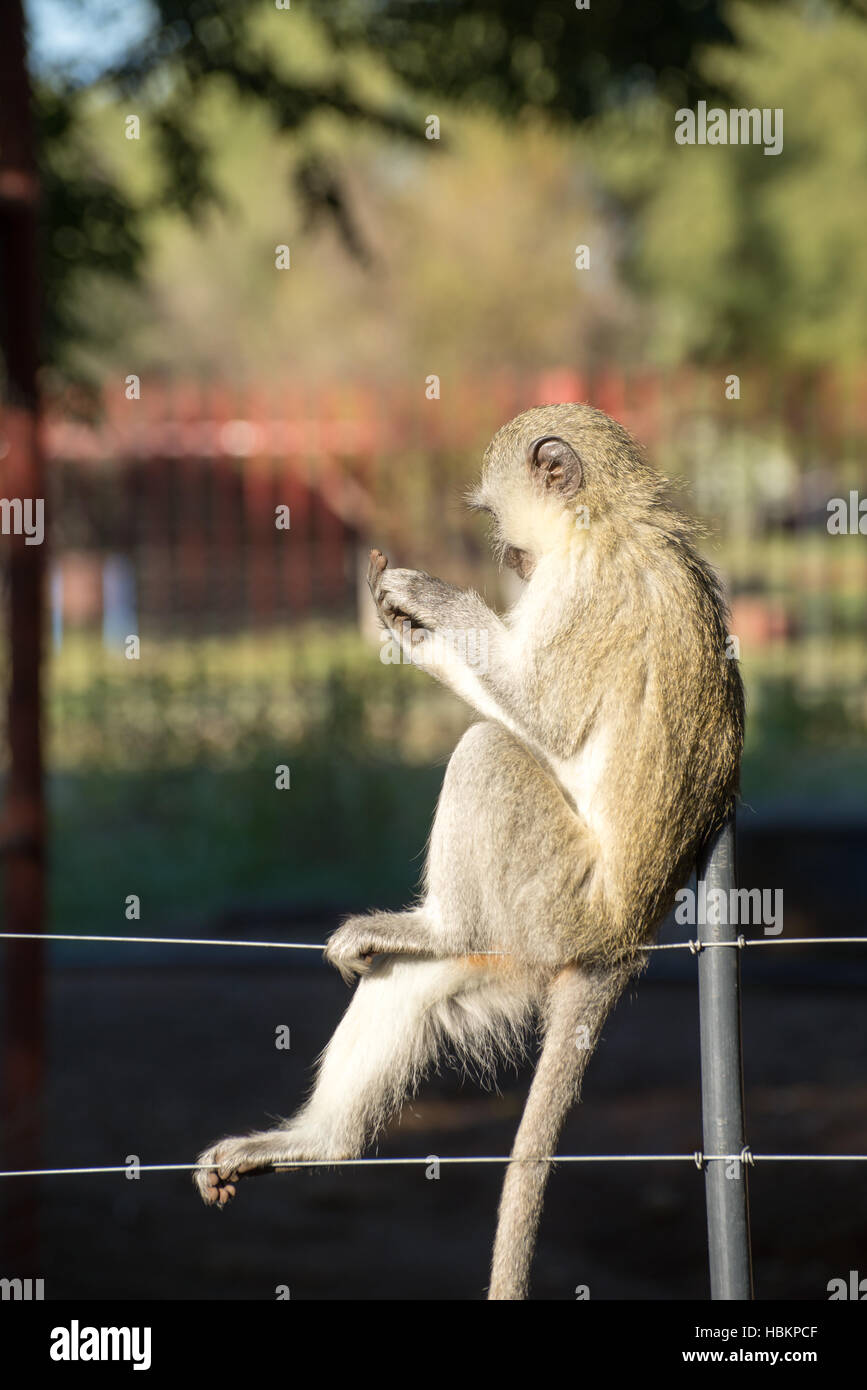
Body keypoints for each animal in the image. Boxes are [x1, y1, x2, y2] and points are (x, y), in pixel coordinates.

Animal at [195, 405, 744, 1301]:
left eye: (493, 516)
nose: (506, 556)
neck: (606, 517)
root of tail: (624, 936)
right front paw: (405, 630)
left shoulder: (583, 587)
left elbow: (539, 714)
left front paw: (430, 605)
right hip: (519, 944)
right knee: (414, 977)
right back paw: (319, 1140)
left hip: (553, 900)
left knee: (489, 749)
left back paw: (435, 924)